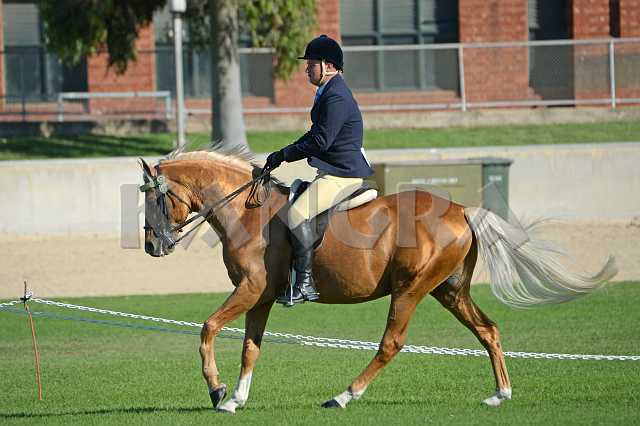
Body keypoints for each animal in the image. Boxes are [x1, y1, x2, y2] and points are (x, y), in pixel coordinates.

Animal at [138, 147, 617, 413]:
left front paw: (216, 389)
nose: (152, 247)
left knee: (391, 343)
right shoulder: (261, 297)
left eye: (154, 200)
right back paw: (500, 394)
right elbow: (250, 347)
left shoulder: (251, 290)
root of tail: (462, 209)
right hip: (448, 291)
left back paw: (344, 396)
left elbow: (208, 328)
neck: (246, 211)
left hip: (411, 290)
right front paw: (236, 398)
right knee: (488, 330)